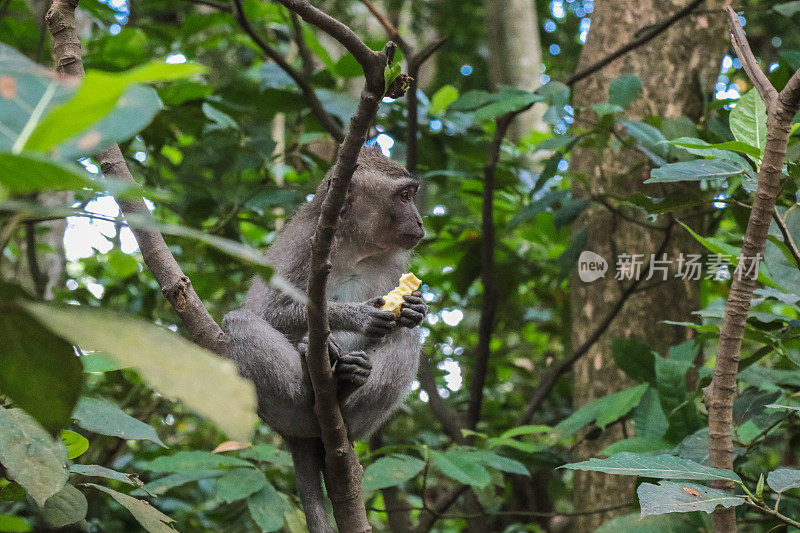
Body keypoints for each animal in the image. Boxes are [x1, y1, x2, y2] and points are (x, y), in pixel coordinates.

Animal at [222, 145, 428, 532]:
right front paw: (357, 315)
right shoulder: (307, 246)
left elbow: (406, 324)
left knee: (406, 339)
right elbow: (268, 311)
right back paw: (313, 378)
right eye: (404, 196)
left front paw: (414, 308)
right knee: (240, 322)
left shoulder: (393, 262)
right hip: (279, 411)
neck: (354, 248)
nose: (421, 221)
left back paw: (347, 391)